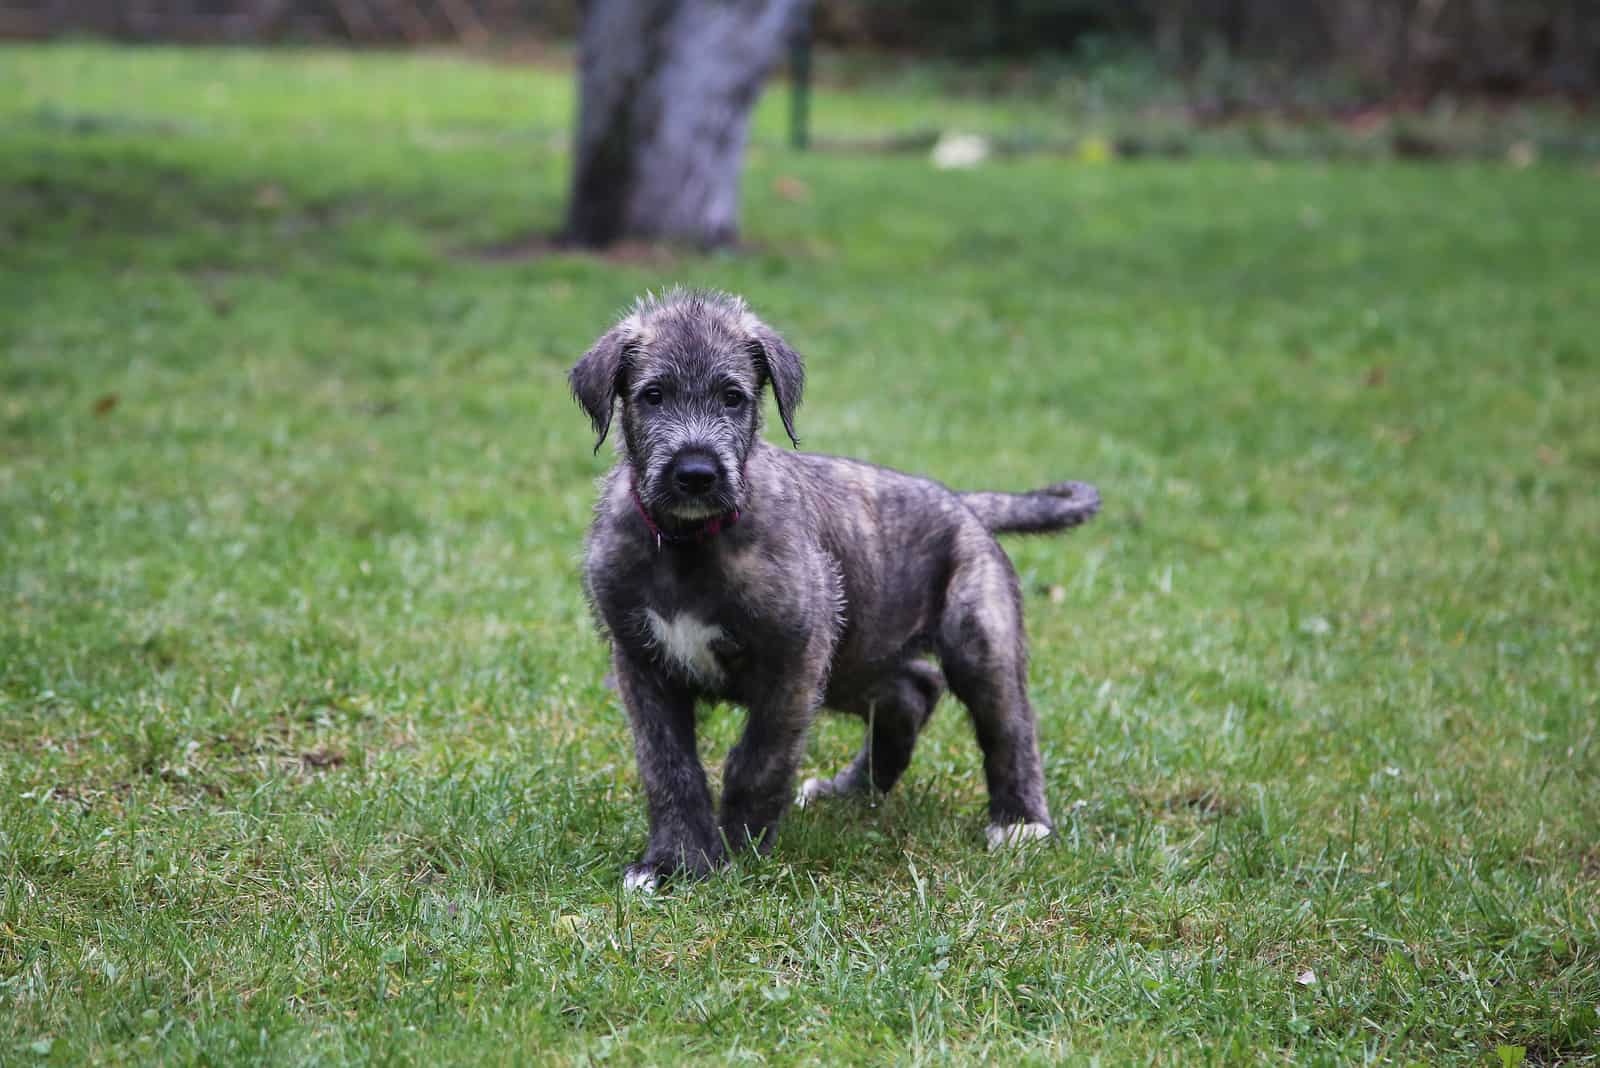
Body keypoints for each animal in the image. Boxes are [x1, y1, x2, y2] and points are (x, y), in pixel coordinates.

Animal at [572, 287, 1100, 888]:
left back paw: (1019, 820)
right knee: (913, 690)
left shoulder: (794, 658)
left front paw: (737, 850)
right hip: (852, 656)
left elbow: (759, 759)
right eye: (653, 395)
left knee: (1008, 724)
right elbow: (668, 767)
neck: (688, 542)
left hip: (975, 638)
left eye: (732, 397)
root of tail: (964, 503)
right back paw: (854, 791)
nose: (696, 474)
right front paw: (675, 860)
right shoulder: (642, 664)